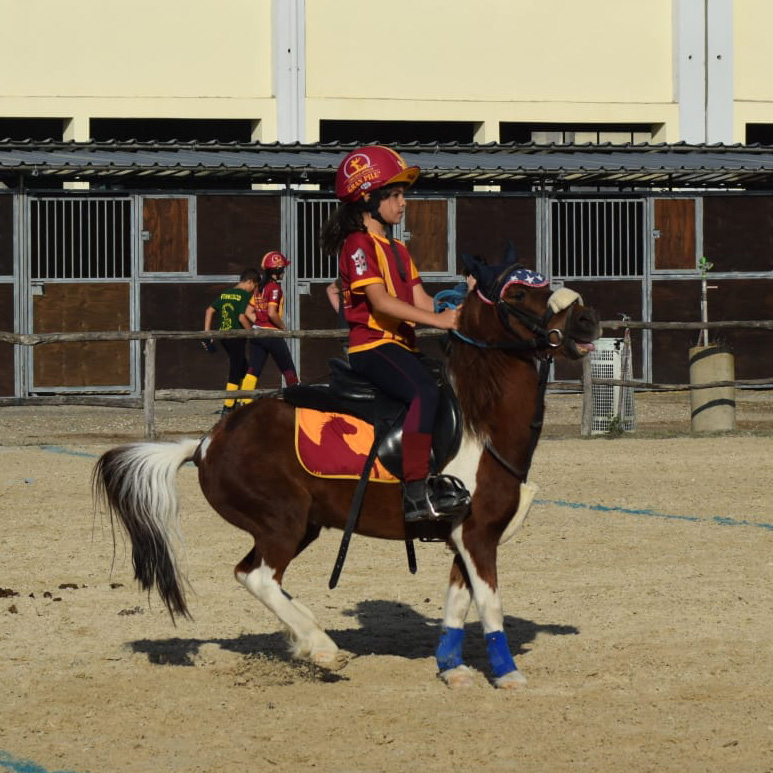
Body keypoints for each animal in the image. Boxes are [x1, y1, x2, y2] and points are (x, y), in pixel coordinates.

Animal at [92, 259, 600, 689]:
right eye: (518, 293)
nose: (586, 319)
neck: (481, 423)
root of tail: (206, 442)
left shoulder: (466, 534)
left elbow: (459, 603)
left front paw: (452, 669)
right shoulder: (477, 534)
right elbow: (491, 604)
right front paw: (508, 674)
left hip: (299, 526)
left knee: (249, 573)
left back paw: (307, 638)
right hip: (283, 522)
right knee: (259, 577)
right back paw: (321, 646)